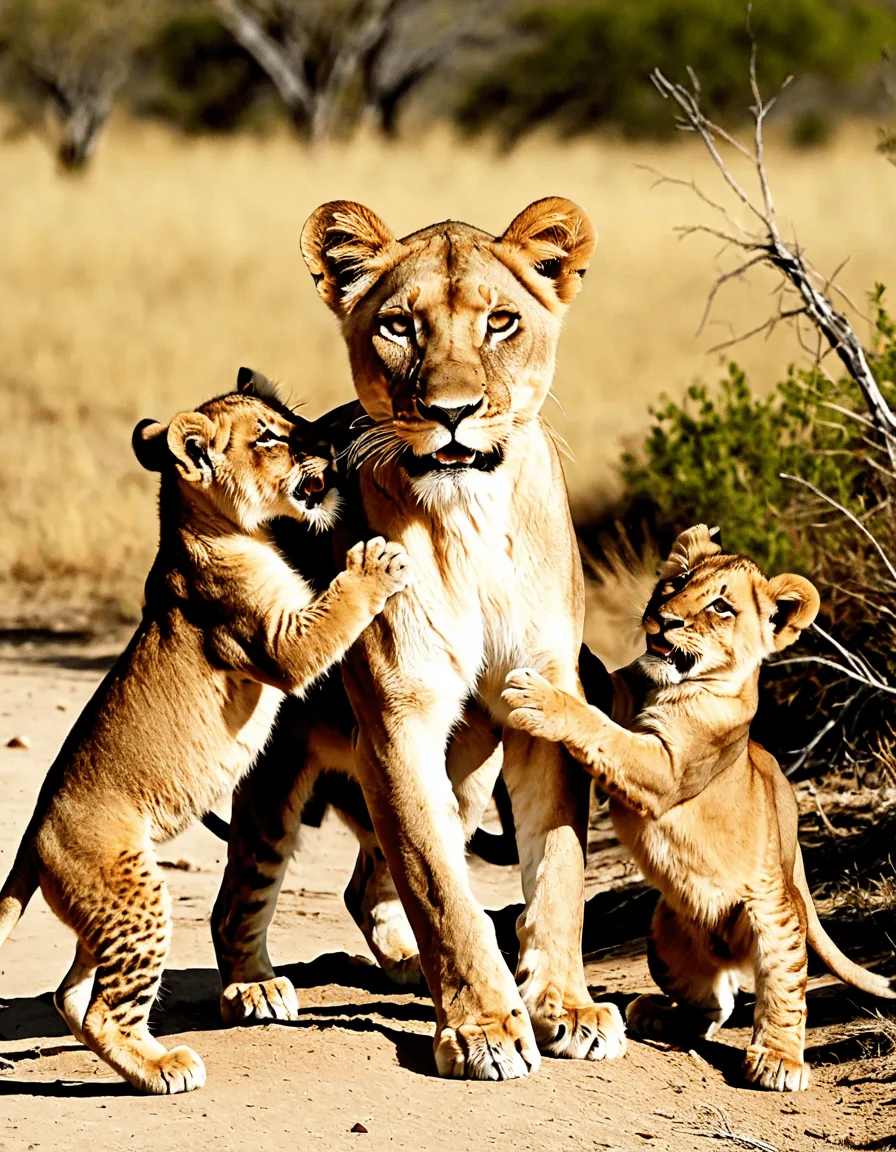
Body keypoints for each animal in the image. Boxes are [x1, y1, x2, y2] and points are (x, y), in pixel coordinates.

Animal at [0, 379, 410, 1094]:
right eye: (270, 437)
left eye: (293, 418)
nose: (327, 440)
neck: (224, 531)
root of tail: (30, 839)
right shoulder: (276, 643)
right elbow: (336, 612)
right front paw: (374, 561)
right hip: (134, 894)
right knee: (104, 1007)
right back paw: (166, 1068)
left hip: (100, 915)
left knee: (72, 997)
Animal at [210, 197, 628, 1081]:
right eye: (399, 327)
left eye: (501, 322)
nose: (452, 413)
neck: (470, 516)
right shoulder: (398, 719)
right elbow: (440, 888)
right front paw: (485, 1028)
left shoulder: (543, 701)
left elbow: (559, 868)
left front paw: (566, 1007)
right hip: (278, 766)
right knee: (239, 896)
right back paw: (253, 988)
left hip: (468, 768)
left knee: (368, 881)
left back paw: (403, 967)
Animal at [503, 524, 896, 1092]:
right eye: (679, 581)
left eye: (721, 607)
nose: (666, 618)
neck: (662, 688)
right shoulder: (627, 694)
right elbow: (603, 686)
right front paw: (581, 655)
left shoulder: (664, 769)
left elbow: (599, 730)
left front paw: (538, 697)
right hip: (665, 938)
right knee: (717, 1003)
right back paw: (654, 1014)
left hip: (775, 920)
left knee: (781, 993)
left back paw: (778, 1063)